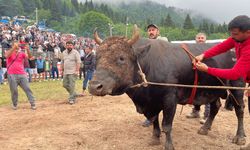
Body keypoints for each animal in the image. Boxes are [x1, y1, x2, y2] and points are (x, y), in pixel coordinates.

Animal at [88, 37, 246, 149]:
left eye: (121, 58)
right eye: (97, 57)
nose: (94, 86)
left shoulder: (170, 99)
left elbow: (167, 124)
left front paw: (168, 145)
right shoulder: (152, 102)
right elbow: (154, 120)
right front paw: (155, 138)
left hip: (237, 86)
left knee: (239, 109)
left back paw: (240, 136)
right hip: (212, 90)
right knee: (215, 107)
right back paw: (205, 128)